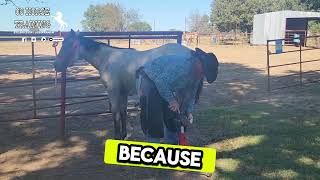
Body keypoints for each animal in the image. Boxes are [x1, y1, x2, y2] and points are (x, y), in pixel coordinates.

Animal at [53, 29, 194, 139]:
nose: (56, 65)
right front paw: (123, 135)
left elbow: (115, 113)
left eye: (68, 45)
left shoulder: (113, 91)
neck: (107, 59)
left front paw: (117, 137)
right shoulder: (123, 92)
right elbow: (123, 111)